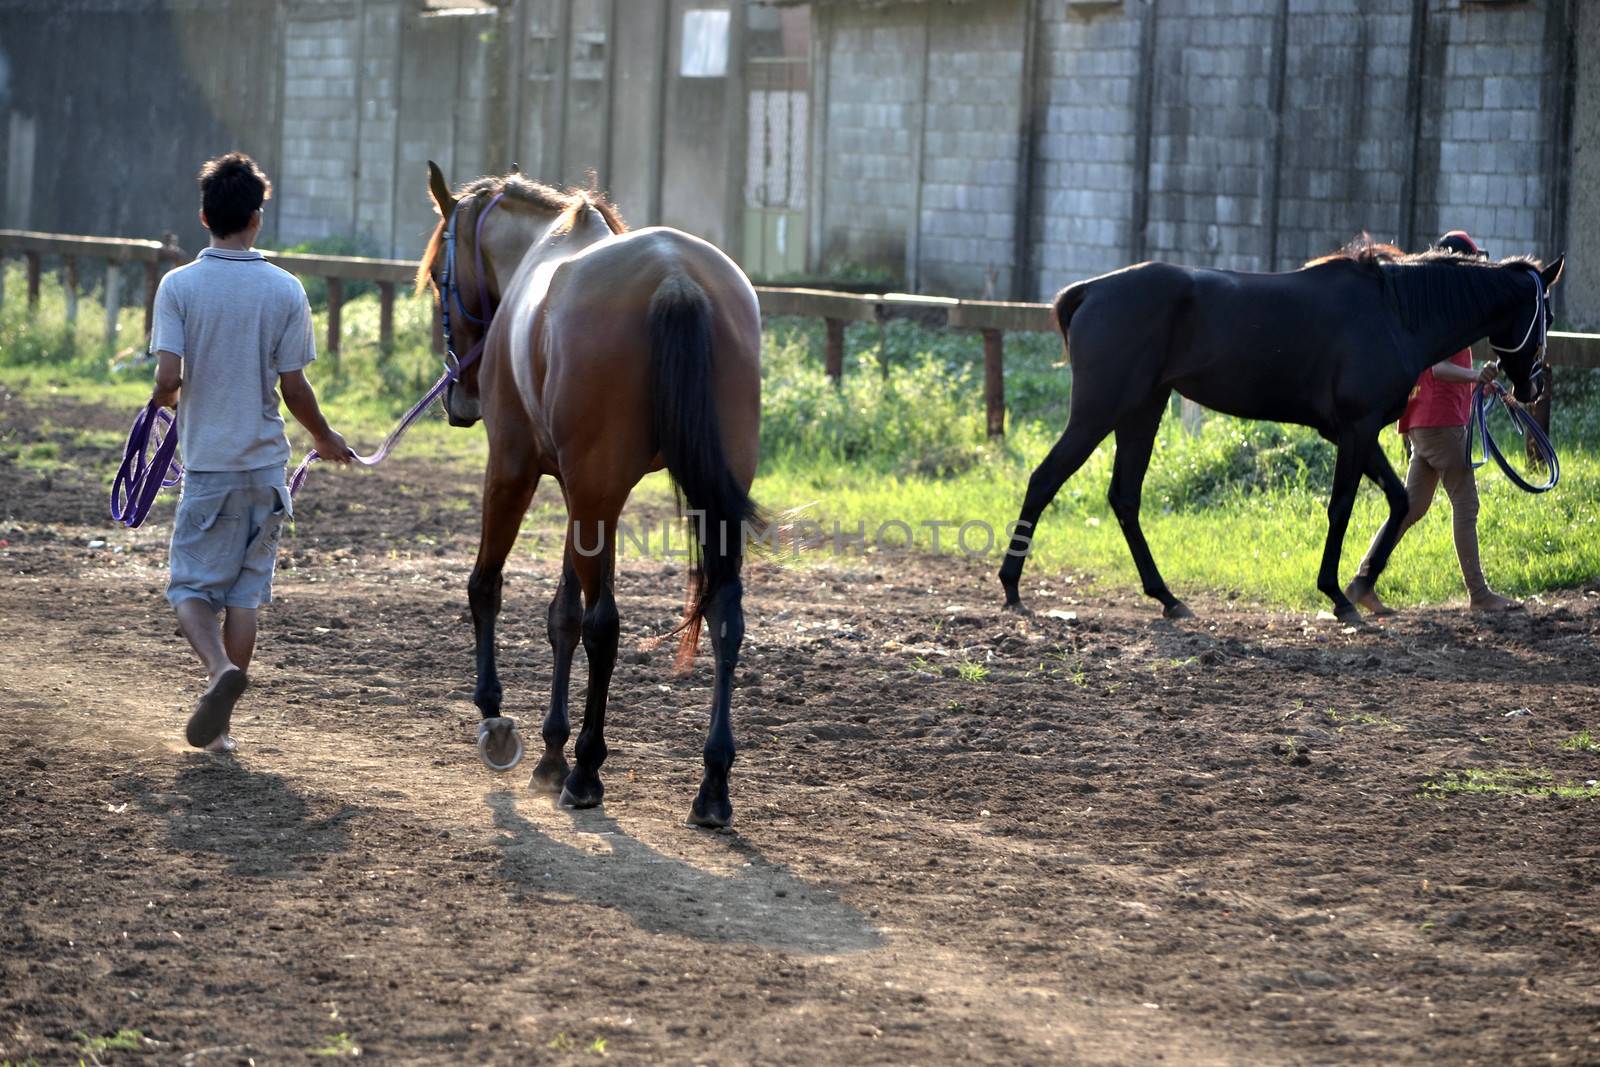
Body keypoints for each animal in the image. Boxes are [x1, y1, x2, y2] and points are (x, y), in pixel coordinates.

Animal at [416, 163, 758, 831]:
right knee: (724, 619)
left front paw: (499, 721)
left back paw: (587, 772)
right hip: (693, 499)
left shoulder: (516, 469)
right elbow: (562, 616)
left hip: (591, 489)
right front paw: (551, 751)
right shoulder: (581, 494)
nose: (460, 399)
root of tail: (674, 276)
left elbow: (488, 587)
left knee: (607, 626)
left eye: (441, 277)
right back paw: (712, 786)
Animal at [998, 239, 1561, 627]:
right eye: (1546, 313)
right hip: (1099, 411)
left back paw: (1168, 598)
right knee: (1045, 480)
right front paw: (1338, 596)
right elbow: (1342, 508)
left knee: (1124, 497)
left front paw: (1363, 584)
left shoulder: (1353, 433)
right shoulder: (1356, 429)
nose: (1533, 385)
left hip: (1143, 410)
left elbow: (1399, 501)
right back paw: (1011, 588)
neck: (1394, 312)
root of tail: (1090, 290)